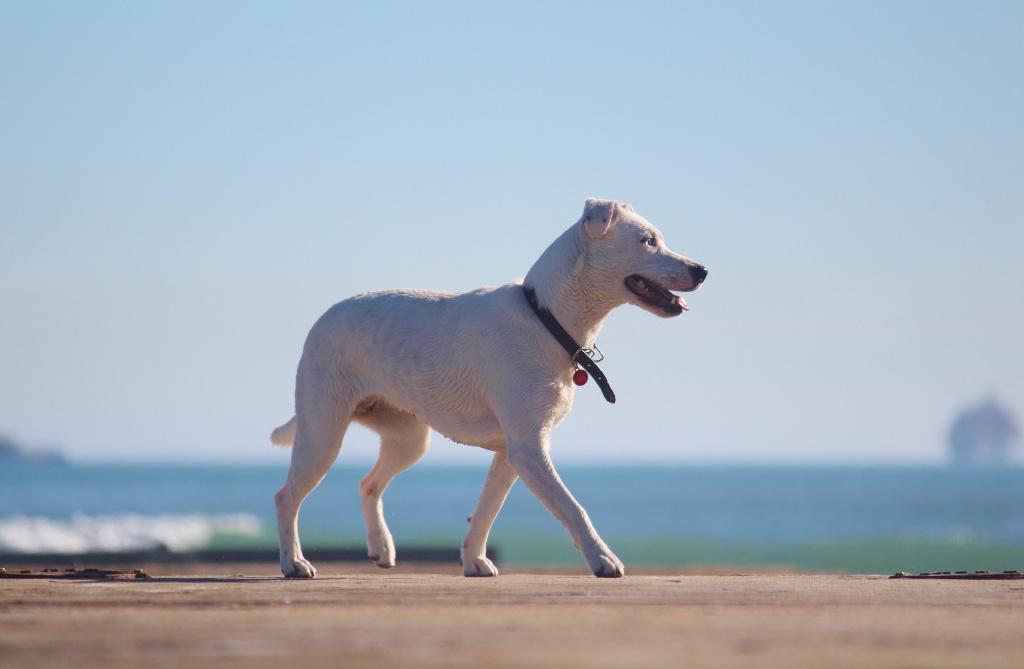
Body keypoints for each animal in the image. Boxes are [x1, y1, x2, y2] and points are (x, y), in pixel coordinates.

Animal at [268, 195, 708, 577]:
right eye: (647, 241)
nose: (702, 271)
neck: (545, 317)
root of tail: (322, 319)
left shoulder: (511, 453)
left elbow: (487, 511)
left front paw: (474, 560)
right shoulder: (529, 449)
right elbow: (572, 507)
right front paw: (603, 559)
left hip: (408, 438)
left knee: (369, 484)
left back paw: (381, 547)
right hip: (323, 434)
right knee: (286, 497)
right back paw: (295, 563)